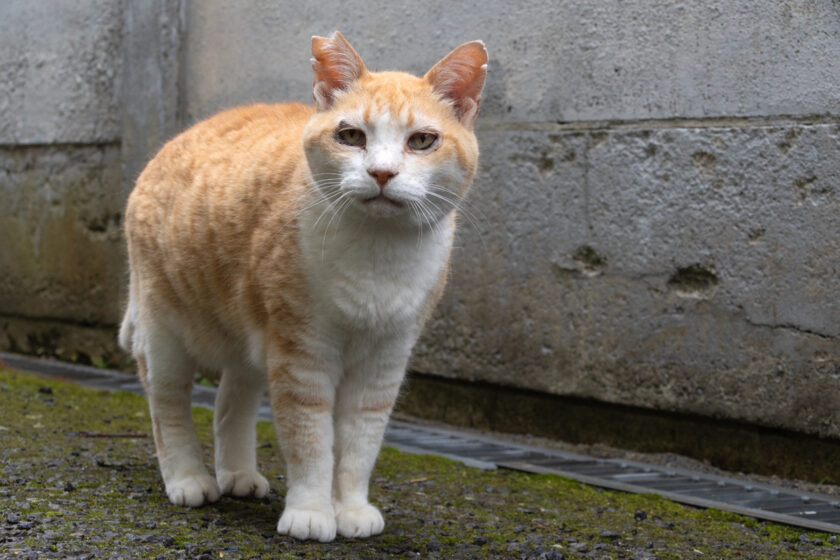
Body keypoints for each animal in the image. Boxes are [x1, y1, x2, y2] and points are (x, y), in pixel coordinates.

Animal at [117, 31, 486, 544]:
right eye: (351, 136)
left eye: (422, 141)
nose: (382, 173)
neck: (377, 253)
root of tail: (173, 141)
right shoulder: (302, 355)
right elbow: (309, 439)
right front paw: (311, 511)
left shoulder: (383, 363)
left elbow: (358, 446)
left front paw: (350, 509)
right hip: (163, 331)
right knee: (166, 406)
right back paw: (189, 479)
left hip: (250, 339)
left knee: (231, 402)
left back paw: (237, 474)